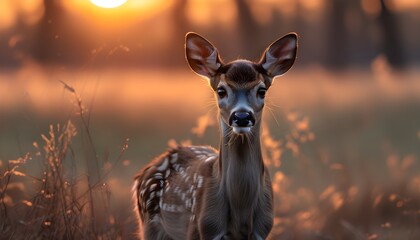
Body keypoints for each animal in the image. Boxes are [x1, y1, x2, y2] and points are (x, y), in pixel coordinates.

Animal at [133, 32, 296, 240]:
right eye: (221, 90)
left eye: (262, 90)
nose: (242, 117)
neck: (241, 214)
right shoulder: (203, 228)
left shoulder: (263, 229)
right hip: (149, 224)